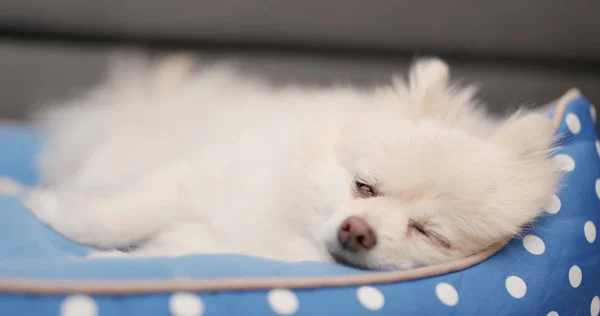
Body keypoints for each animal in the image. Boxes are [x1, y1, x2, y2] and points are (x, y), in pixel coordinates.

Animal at [21, 53, 560, 270]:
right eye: (364, 186)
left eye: (428, 233)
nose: (357, 231)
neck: (291, 228)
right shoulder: (191, 178)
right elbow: (111, 217)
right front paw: (45, 208)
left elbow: (173, 254)